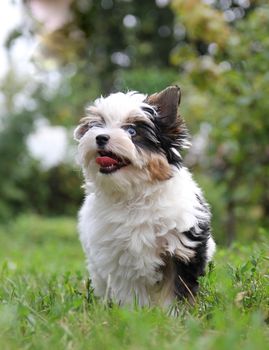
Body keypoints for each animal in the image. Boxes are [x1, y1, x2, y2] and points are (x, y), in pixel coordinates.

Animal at [74, 86, 216, 308]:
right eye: (97, 126)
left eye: (132, 131)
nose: (100, 137)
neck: (135, 193)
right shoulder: (120, 258)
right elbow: (130, 291)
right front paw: (136, 314)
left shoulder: (182, 249)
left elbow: (176, 288)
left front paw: (173, 314)